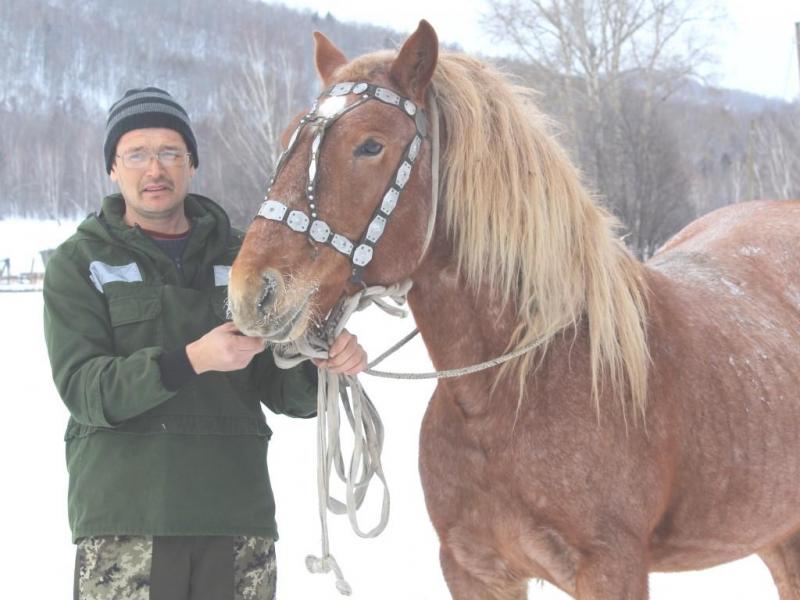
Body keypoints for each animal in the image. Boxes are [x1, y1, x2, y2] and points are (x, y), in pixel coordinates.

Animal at [225, 19, 800, 600]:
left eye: (370, 145)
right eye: (288, 140)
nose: (252, 291)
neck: (520, 388)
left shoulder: (613, 570)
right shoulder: (474, 569)